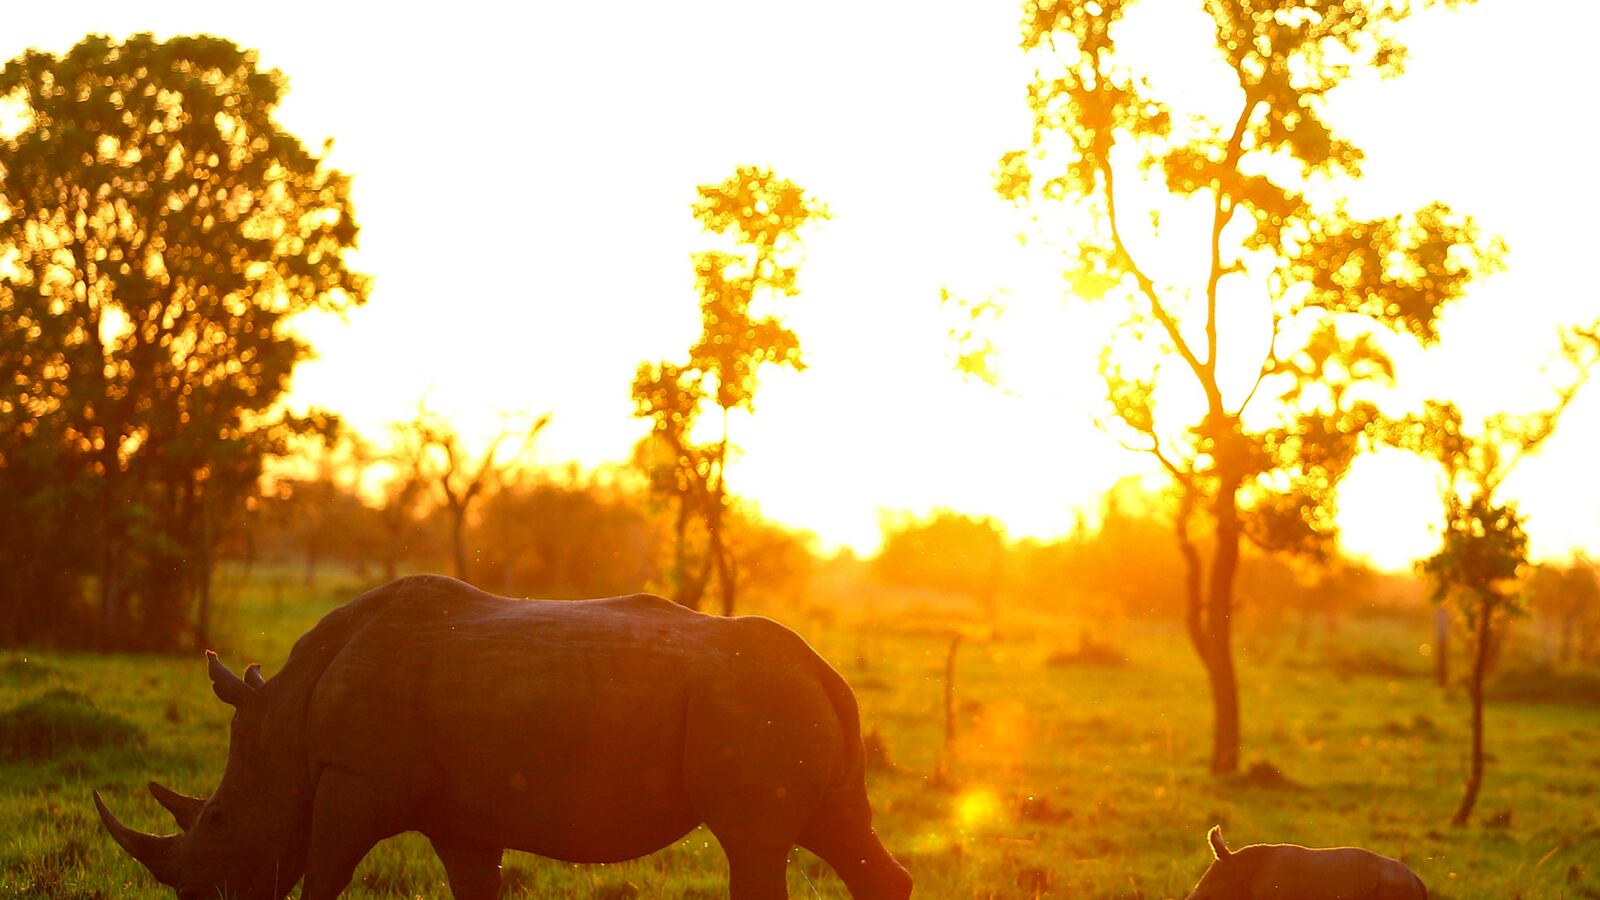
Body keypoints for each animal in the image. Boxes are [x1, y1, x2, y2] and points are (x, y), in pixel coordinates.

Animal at [94, 575, 912, 900]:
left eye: (219, 821)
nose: (193, 897)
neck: (287, 722)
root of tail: (824, 667)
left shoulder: (354, 780)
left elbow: (324, 876)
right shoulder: (462, 818)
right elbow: (473, 885)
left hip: (750, 700)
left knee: (753, 842)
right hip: (784, 702)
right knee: (838, 832)